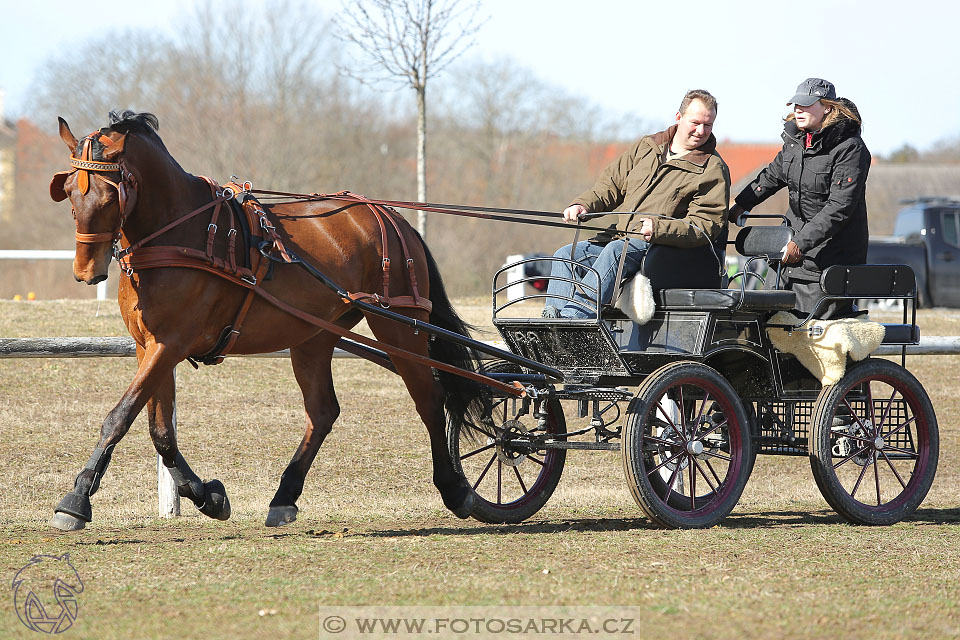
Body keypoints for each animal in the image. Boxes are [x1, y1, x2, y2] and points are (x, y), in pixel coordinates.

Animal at [46, 110, 488, 528]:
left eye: (110, 194)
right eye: (68, 192)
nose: (86, 271)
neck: (181, 232)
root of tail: (393, 217)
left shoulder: (169, 344)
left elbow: (119, 417)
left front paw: (77, 498)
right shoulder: (148, 347)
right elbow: (161, 432)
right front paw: (207, 496)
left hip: (399, 324)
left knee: (429, 398)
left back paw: (455, 489)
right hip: (314, 336)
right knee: (323, 412)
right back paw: (284, 496)